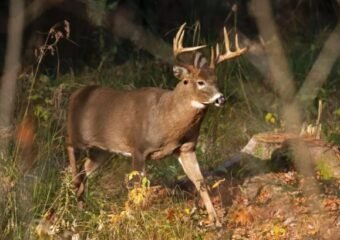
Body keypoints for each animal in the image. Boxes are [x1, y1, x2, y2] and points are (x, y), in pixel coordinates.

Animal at [66, 23, 246, 226]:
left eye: (216, 81)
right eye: (200, 82)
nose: (220, 98)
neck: (166, 120)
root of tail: (74, 95)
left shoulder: (186, 148)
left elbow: (200, 182)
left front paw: (215, 221)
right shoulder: (138, 148)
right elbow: (138, 188)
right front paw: (137, 220)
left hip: (101, 150)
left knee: (85, 172)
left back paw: (81, 209)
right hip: (77, 134)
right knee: (70, 150)